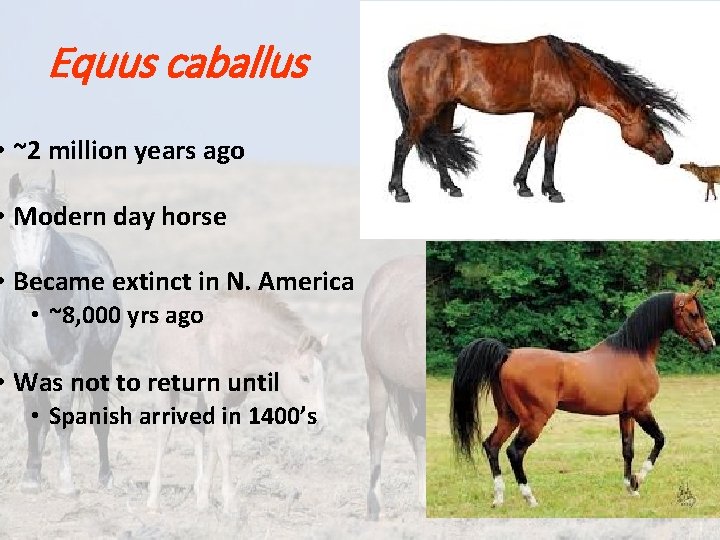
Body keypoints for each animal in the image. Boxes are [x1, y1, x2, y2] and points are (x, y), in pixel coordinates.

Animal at [0, 172, 122, 494]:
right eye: (12, 224)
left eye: (47, 223)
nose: (30, 277)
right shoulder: (22, 364)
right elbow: (33, 418)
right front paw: (31, 477)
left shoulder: (70, 366)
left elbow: (65, 419)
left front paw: (66, 482)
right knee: (43, 417)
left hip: (100, 365)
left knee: (100, 421)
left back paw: (106, 477)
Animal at [146, 291, 329, 514]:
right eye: (304, 377)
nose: (319, 423)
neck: (237, 343)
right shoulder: (215, 397)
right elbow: (224, 444)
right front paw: (230, 503)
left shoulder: (230, 402)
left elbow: (216, 445)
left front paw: (204, 499)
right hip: (163, 382)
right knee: (163, 433)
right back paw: (153, 499)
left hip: (200, 397)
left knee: (197, 432)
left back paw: (197, 489)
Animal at [387, 34, 687, 203]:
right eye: (650, 125)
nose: (668, 154)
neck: (570, 67)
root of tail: (409, 50)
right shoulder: (556, 117)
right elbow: (550, 154)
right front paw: (552, 191)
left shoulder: (542, 115)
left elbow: (531, 149)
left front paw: (523, 186)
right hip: (423, 112)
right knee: (403, 143)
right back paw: (400, 191)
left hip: (445, 109)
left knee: (440, 146)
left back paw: (451, 187)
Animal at [449, 291, 714, 508]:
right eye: (693, 314)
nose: (710, 344)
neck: (633, 351)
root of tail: (508, 354)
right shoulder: (641, 409)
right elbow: (659, 440)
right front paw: (638, 480)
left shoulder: (626, 412)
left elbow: (627, 449)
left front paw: (630, 488)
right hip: (534, 419)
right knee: (515, 451)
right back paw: (530, 498)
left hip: (509, 416)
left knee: (491, 446)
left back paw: (499, 498)